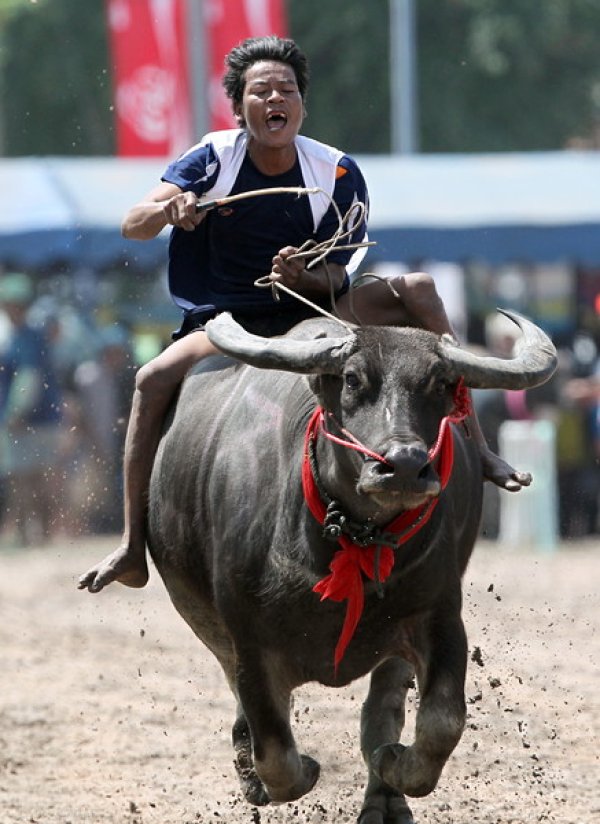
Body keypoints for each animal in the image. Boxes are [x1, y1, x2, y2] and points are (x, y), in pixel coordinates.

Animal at [146, 310, 556, 824]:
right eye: (353, 379)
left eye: (441, 382)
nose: (404, 466)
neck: (347, 538)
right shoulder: (248, 637)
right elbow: (274, 749)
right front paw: (293, 771)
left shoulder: (440, 615)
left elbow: (442, 722)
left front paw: (392, 761)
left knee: (382, 710)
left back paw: (384, 794)